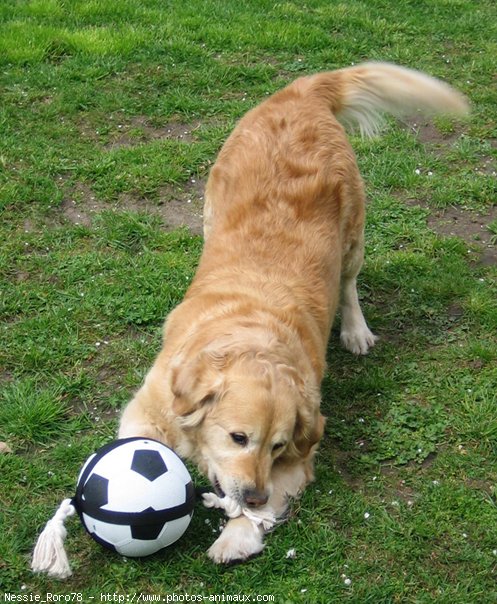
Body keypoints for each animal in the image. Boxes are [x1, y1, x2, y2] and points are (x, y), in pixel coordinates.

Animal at [118, 61, 466, 560]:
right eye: (238, 437)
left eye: (278, 446)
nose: (253, 494)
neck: (251, 337)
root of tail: (301, 92)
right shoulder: (145, 410)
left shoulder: (301, 454)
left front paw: (236, 534)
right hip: (211, 211)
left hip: (352, 234)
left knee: (348, 284)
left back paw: (356, 330)